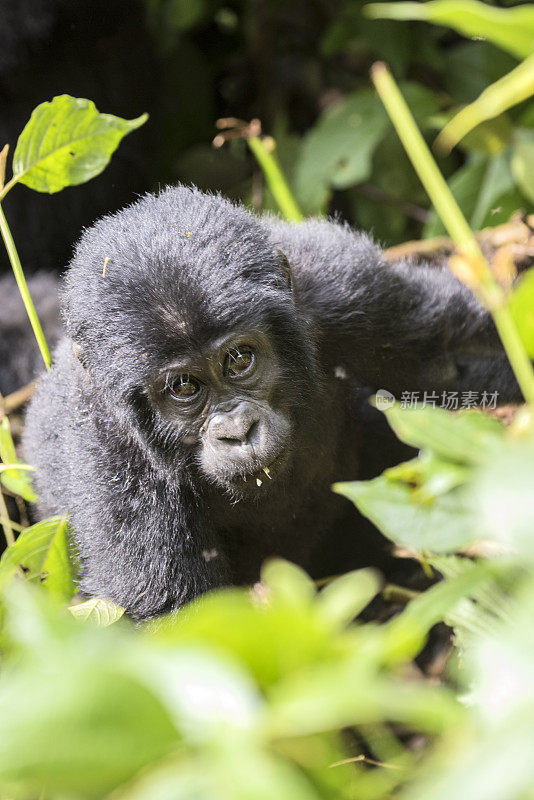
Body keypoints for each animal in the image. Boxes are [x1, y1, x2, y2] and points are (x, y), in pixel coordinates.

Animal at [23, 183, 520, 620]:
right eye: (183, 387)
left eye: (240, 359)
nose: (238, 432)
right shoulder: (110, 455)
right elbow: (178, 618)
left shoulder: (342, 286)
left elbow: (452, 358)